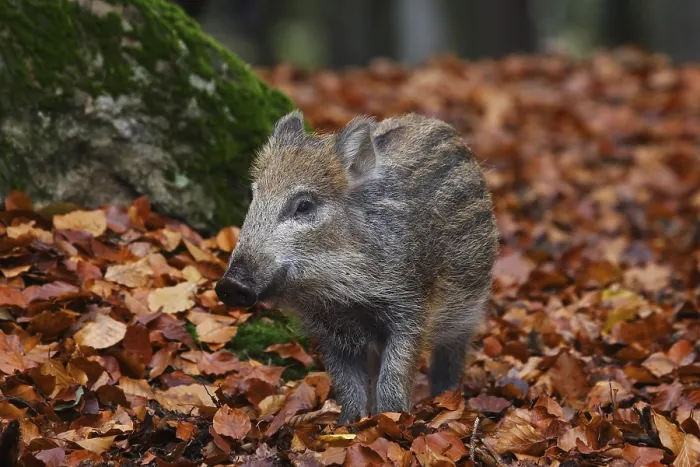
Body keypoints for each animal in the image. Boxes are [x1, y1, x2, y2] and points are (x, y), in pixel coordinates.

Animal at [215, 110, 498, 424]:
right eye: (255, 195)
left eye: (304, 205)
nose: (229, 285)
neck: (340, 291)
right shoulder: (329, 329)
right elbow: (347, 385)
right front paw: (350, 424)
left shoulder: (412, 309)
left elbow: (394, 376)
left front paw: (393, 419)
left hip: (469, 306)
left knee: (451, 355)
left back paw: (445, 396)